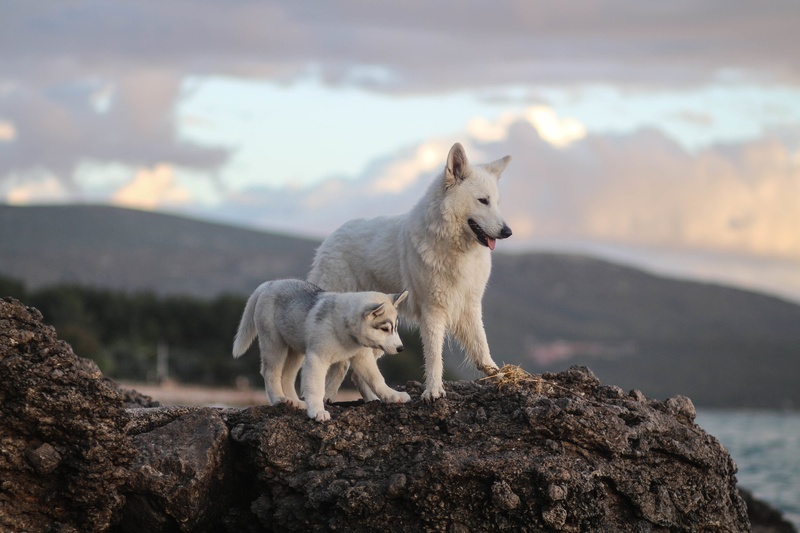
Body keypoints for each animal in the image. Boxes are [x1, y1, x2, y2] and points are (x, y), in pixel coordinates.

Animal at [232, 279, 411, 421]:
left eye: (395, 328)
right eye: (385, 329)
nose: (401, 348)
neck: (344, 326)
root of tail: (269, 283)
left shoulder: (362, 357)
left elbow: (376, 379)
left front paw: (392, 395)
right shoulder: (317, 358)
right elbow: (316, 387)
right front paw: (318, 411)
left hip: (296, 350)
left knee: (287, 376)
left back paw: (295, 402)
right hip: (275, 344)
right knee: (271, 372)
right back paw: (279, 399)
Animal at [308, 142, 512, 401]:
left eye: (496, 202)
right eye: (483, 200)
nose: (508, 232)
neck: (453, 247)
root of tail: (330, 238)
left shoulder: (470, 306)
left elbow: (482, 347)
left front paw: (502, 377)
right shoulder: (432, 311)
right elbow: (434, 356)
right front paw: (433, 390)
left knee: (356, 369)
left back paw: (373, 399)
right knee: (346, 365)